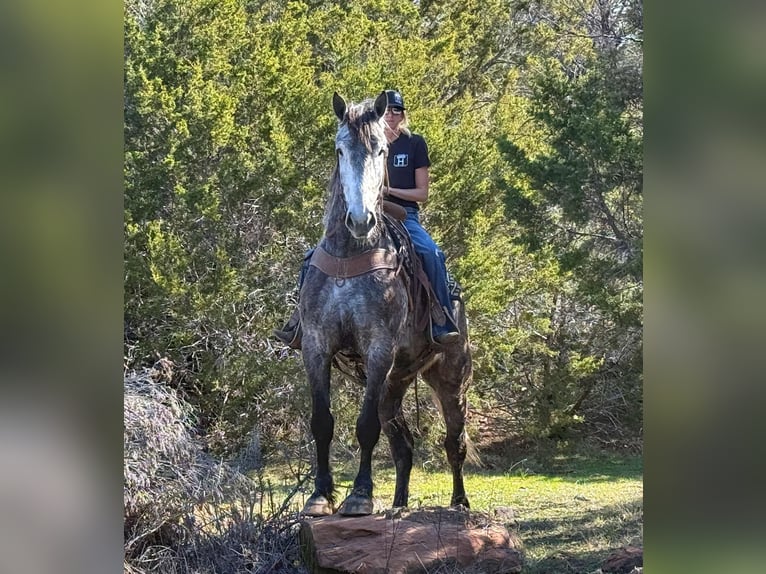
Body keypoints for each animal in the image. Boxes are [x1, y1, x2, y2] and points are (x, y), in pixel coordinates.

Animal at [298, 90, 474, 516]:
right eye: (340, 149)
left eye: (381, 150)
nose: (360, 220)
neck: (350, 254)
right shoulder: (315, 345)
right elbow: (321, 422)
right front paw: (320, 495)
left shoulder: (378, 349)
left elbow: (365, 427)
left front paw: (360, 496)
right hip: (396, 383)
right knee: (403, 447)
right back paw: (397, 506)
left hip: (451, 377)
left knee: (454, 443)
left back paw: (459, 504)